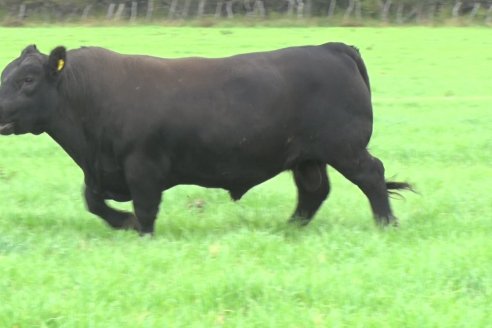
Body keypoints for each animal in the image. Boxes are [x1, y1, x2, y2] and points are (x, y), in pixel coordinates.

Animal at [0, 43, 412, 233]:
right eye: (7, 73)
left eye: (28, 79)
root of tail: (331, 48)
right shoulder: (103, 171)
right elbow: (93, 201)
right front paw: (123, 222)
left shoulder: (143, 167)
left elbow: (145, 210)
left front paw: (138, 232)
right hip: (307, 156)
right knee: (314, 191)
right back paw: (290, 228)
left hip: (345, 148)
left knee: (372, 176)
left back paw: (386, 224)